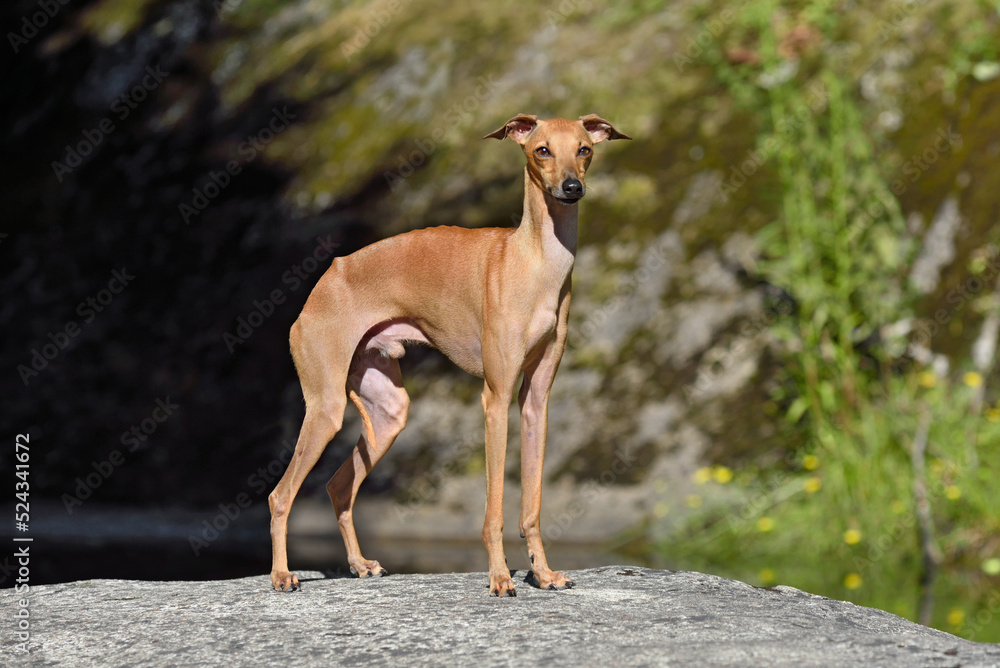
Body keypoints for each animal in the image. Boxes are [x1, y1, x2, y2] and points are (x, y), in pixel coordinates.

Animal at [270, 113, 628, 596]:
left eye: (584, 149)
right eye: (542, 150)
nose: (571, 188)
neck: (533, 262)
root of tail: (325, 280)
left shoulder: (535, 402)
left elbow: (531, 505)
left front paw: (543, 573)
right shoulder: (495, 399)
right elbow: (493, 509)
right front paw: (500, 578)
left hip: (387, 411)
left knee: (338, 485)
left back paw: (360, 564)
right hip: (325, 407)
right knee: (280, 494)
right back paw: (281, 575)